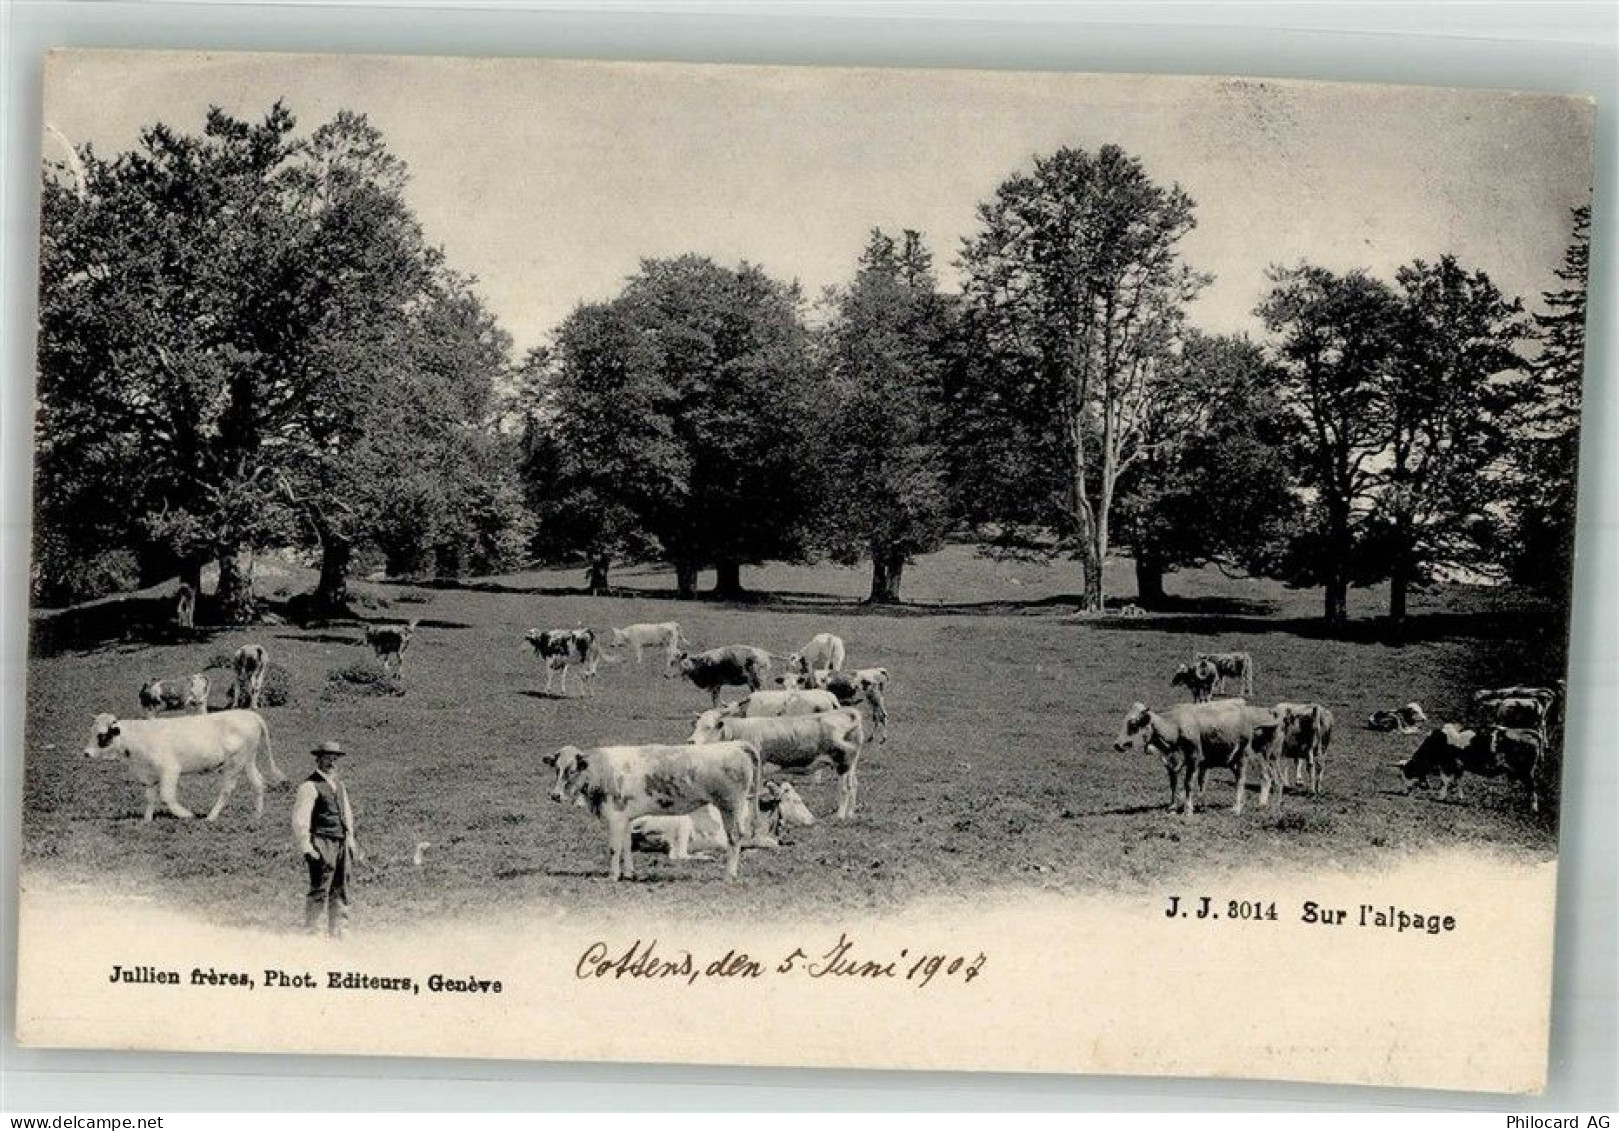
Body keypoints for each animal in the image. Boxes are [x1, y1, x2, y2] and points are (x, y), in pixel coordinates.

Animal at [82, 709, 284, 822]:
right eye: (90, 731)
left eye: (102, 735)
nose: (86, 753)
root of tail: (250, 715)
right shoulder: (148, 775)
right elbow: (150, 797)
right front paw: (147, 821)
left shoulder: (170, 770)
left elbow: (167, 796)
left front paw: (186, 814)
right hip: (248, 761)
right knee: (258, 783)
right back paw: (257, 816)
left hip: (234, 764)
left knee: (227, 789)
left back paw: (211, 817)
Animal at [544, 741, 761, 881]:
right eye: (556, 769)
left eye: (572, 770)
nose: (555, 795)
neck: (603, 771)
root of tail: (736, 745)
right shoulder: (626, 817)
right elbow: (626, 845)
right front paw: (628, 874)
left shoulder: (615, 816)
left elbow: (614, 848)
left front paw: (612, 876)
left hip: (730, 806)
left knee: (734, 837)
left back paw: (729, 874)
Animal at [631, 781, 817, 859]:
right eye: (795, 801)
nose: (813, 820)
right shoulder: (748, 838)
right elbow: (773, 845)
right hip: (683, 823)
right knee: (678, 855)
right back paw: (706, 856)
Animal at [688, 707, 866, 819]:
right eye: (696, 725)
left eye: (708, 727)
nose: (691, 741)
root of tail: (847, 712)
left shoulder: (757, 770)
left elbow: (752, 795)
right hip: (851, 765)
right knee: (854, 784)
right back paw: (850, 814)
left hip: (843, 763)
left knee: (845, 788)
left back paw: (840, 816)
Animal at [1113, 699, 1284, 816]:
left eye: (1133, 724)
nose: (1117, 744)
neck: (1175, 726)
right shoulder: (1171, 762)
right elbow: (1173, 783)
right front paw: (1172, 807)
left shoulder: (1194, 759)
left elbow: (1188, 783)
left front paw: (1188, 810)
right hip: (1233, 759)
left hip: (1243, 755)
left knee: (1243, 779)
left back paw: (1237, 808)